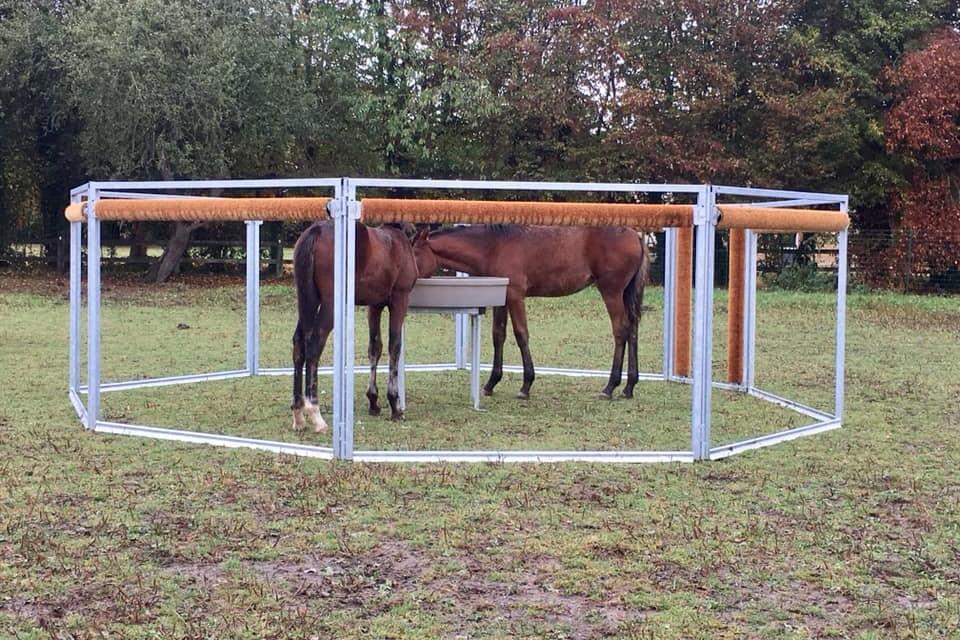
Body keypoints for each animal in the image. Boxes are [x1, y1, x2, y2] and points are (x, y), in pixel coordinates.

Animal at [291, 222, 430, 432]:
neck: (401, 243)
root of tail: (316, 231)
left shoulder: (374, 306)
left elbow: (375, 348)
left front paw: (373, 401)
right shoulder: (399, 300)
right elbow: (394, 347)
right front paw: (395, 405)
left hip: (308, 301)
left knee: (299, 345)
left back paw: (298, 413)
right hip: (329, 305)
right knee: (314, 346)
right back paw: (315, 413)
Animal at [413, 224, 650, 400]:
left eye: (414, 253)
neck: (493, 246)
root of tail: (635, 235)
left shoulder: (515, 296)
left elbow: (521, 334)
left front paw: (526, 385)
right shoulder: (502, 299)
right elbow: (498, 335)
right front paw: (491, 383)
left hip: (611, 292)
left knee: (620, 331)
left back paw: (610, 387)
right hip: (625, 295)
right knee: (633, 330)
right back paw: (629, 387)